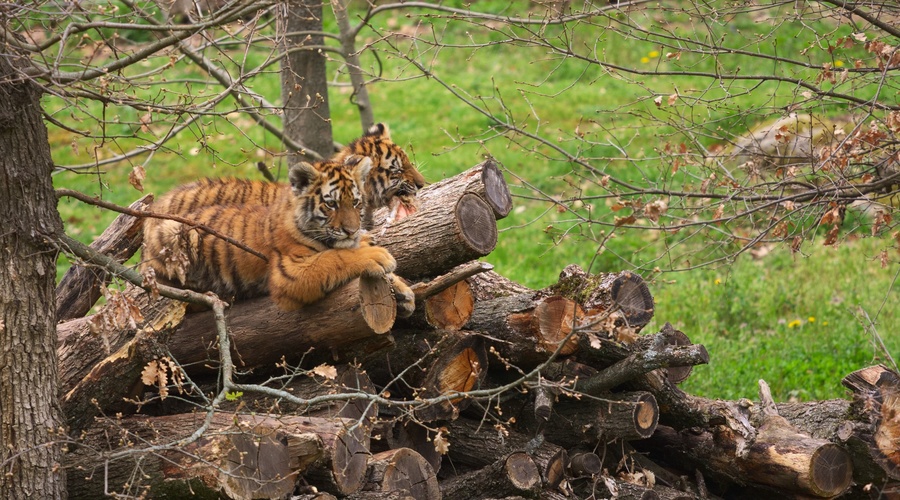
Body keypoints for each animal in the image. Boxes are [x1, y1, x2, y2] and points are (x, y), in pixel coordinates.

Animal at [141, 155, 415, 313]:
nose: (351, 230)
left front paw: (403, 292)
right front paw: (378, 256)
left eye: (356, 203)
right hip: (174, 235)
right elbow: (334, 258)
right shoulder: (290, 274)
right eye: (332, 204)